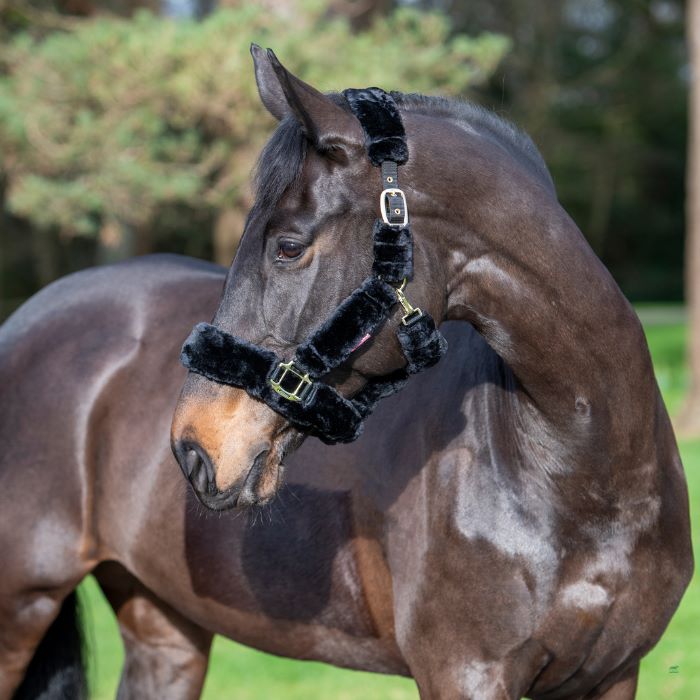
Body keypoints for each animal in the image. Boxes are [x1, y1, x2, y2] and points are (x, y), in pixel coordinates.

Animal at [0, 46, 692, 700]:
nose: (193, 447)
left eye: (287, 246)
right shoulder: (464, 673)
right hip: (22, 608)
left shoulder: (611, 675)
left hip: (164, 627)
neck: (587, 475)